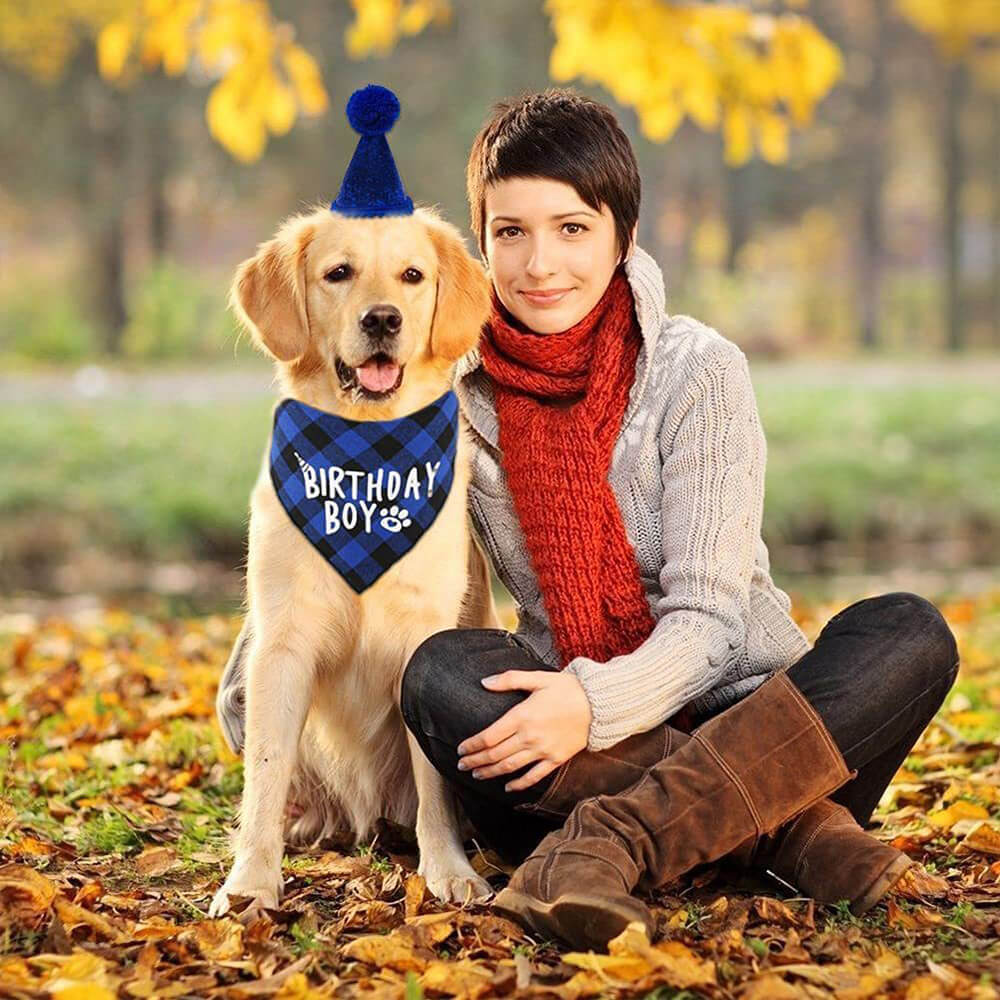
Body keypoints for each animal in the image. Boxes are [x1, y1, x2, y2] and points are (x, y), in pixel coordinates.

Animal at [207, 205, 496, 920]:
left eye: (412, 276)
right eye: (338, 273)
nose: (382, 319)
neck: (367, 463)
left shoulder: (425, 634)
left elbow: (433, 782)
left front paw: (448, 869)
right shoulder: (282, 642)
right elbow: (265, 771)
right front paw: (251, 881)